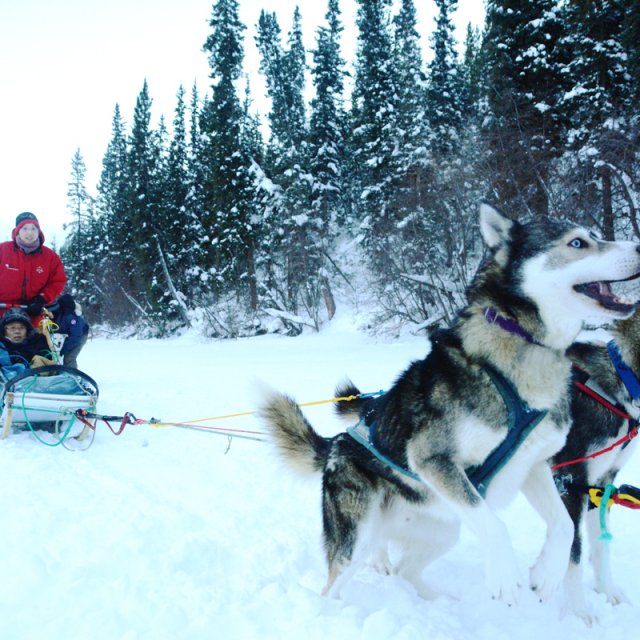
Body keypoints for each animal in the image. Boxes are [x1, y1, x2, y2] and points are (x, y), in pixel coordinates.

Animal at [552, 312, 640, 624]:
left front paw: (607, 591)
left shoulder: (601, 482)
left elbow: (601, 546)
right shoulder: (570, 481)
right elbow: (574, 549)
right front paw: (578, 611)